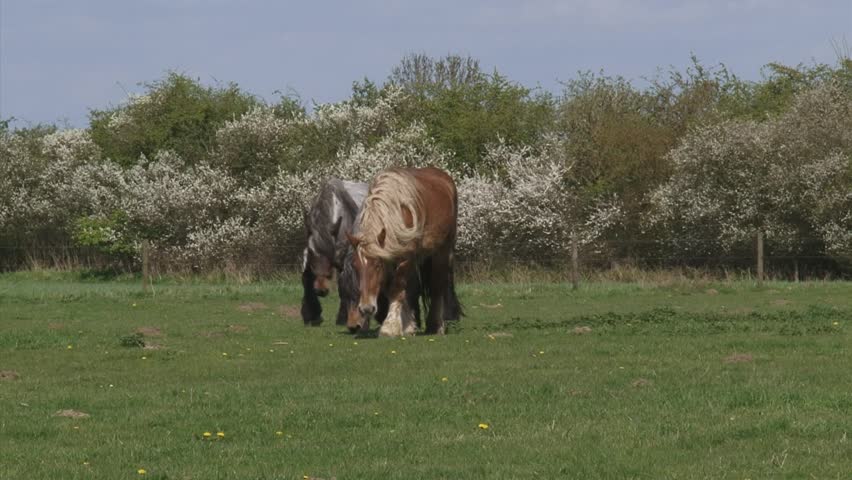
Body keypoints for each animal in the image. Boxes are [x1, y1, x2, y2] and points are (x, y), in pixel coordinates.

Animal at [347, 167, 459, 336]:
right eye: (355, 266)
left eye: (377, 266)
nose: (366, 309)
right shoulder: (391, 257)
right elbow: (395, 289)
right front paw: (407, 325)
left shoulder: (405, 257)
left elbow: (397, 287)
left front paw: (390, 326)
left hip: (442, 251)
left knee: (437, 285)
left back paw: (436, 326)